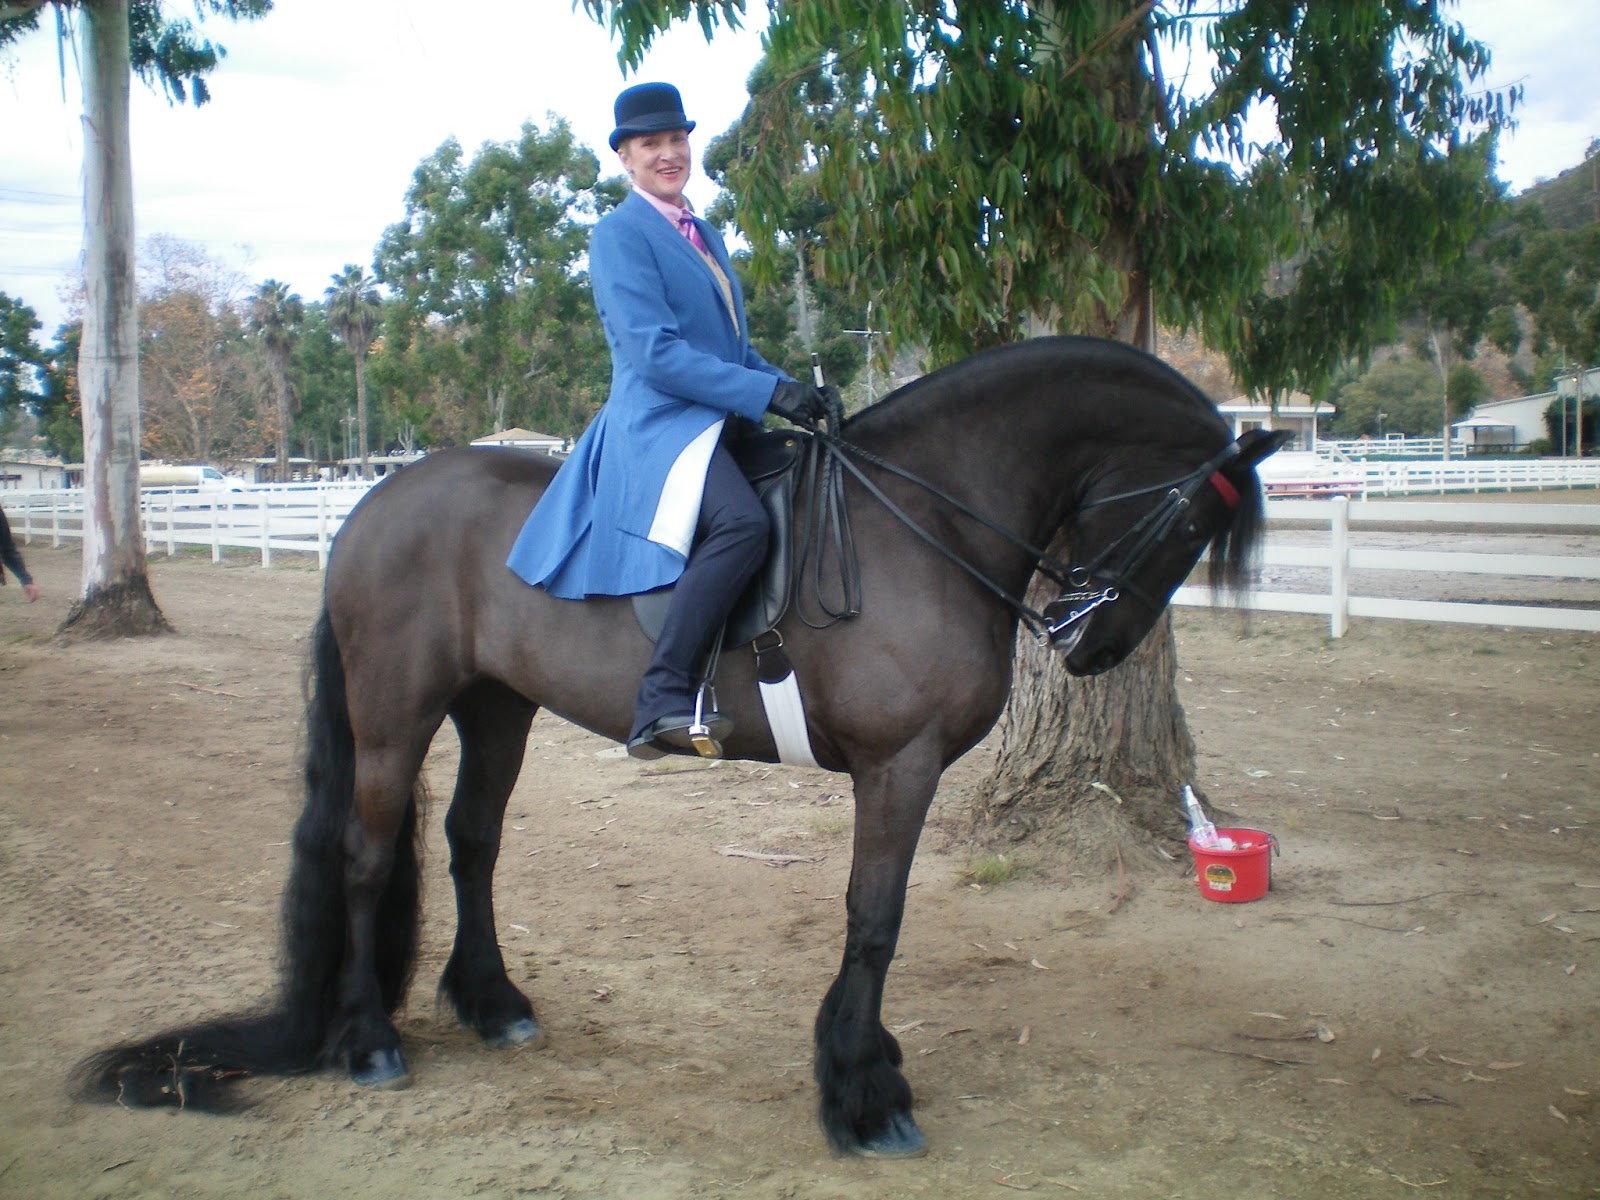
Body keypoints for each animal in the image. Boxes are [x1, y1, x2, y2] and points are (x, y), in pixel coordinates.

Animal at [78, 335, 1289, 1157]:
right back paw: (368, 1041)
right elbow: (876, 919)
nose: (1095, 645)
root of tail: (376, 502)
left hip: (496, 709)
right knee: (371, 857)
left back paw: (493, 1004)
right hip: (394, 713)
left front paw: (864, 1069)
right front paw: (863, 1093)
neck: (922, 518)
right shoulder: (897, 768)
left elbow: (875, 920)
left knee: (472, 844)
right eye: (1192, 522)